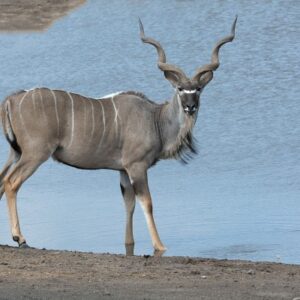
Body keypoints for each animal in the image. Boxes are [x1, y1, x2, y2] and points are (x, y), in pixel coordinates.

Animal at [0, 17, 237, 252]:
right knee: (11, 183)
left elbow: (129, 203)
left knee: (2, 180)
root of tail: (12, 99)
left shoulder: (123, 169)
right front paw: (160, 246)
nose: (190, 107)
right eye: (180, 89)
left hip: (16, 153)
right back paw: (20, 238)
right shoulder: (137, 166)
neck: (155, 119)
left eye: (198, 89)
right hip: (35, 154)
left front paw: (129, 243)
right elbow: (147, 202)